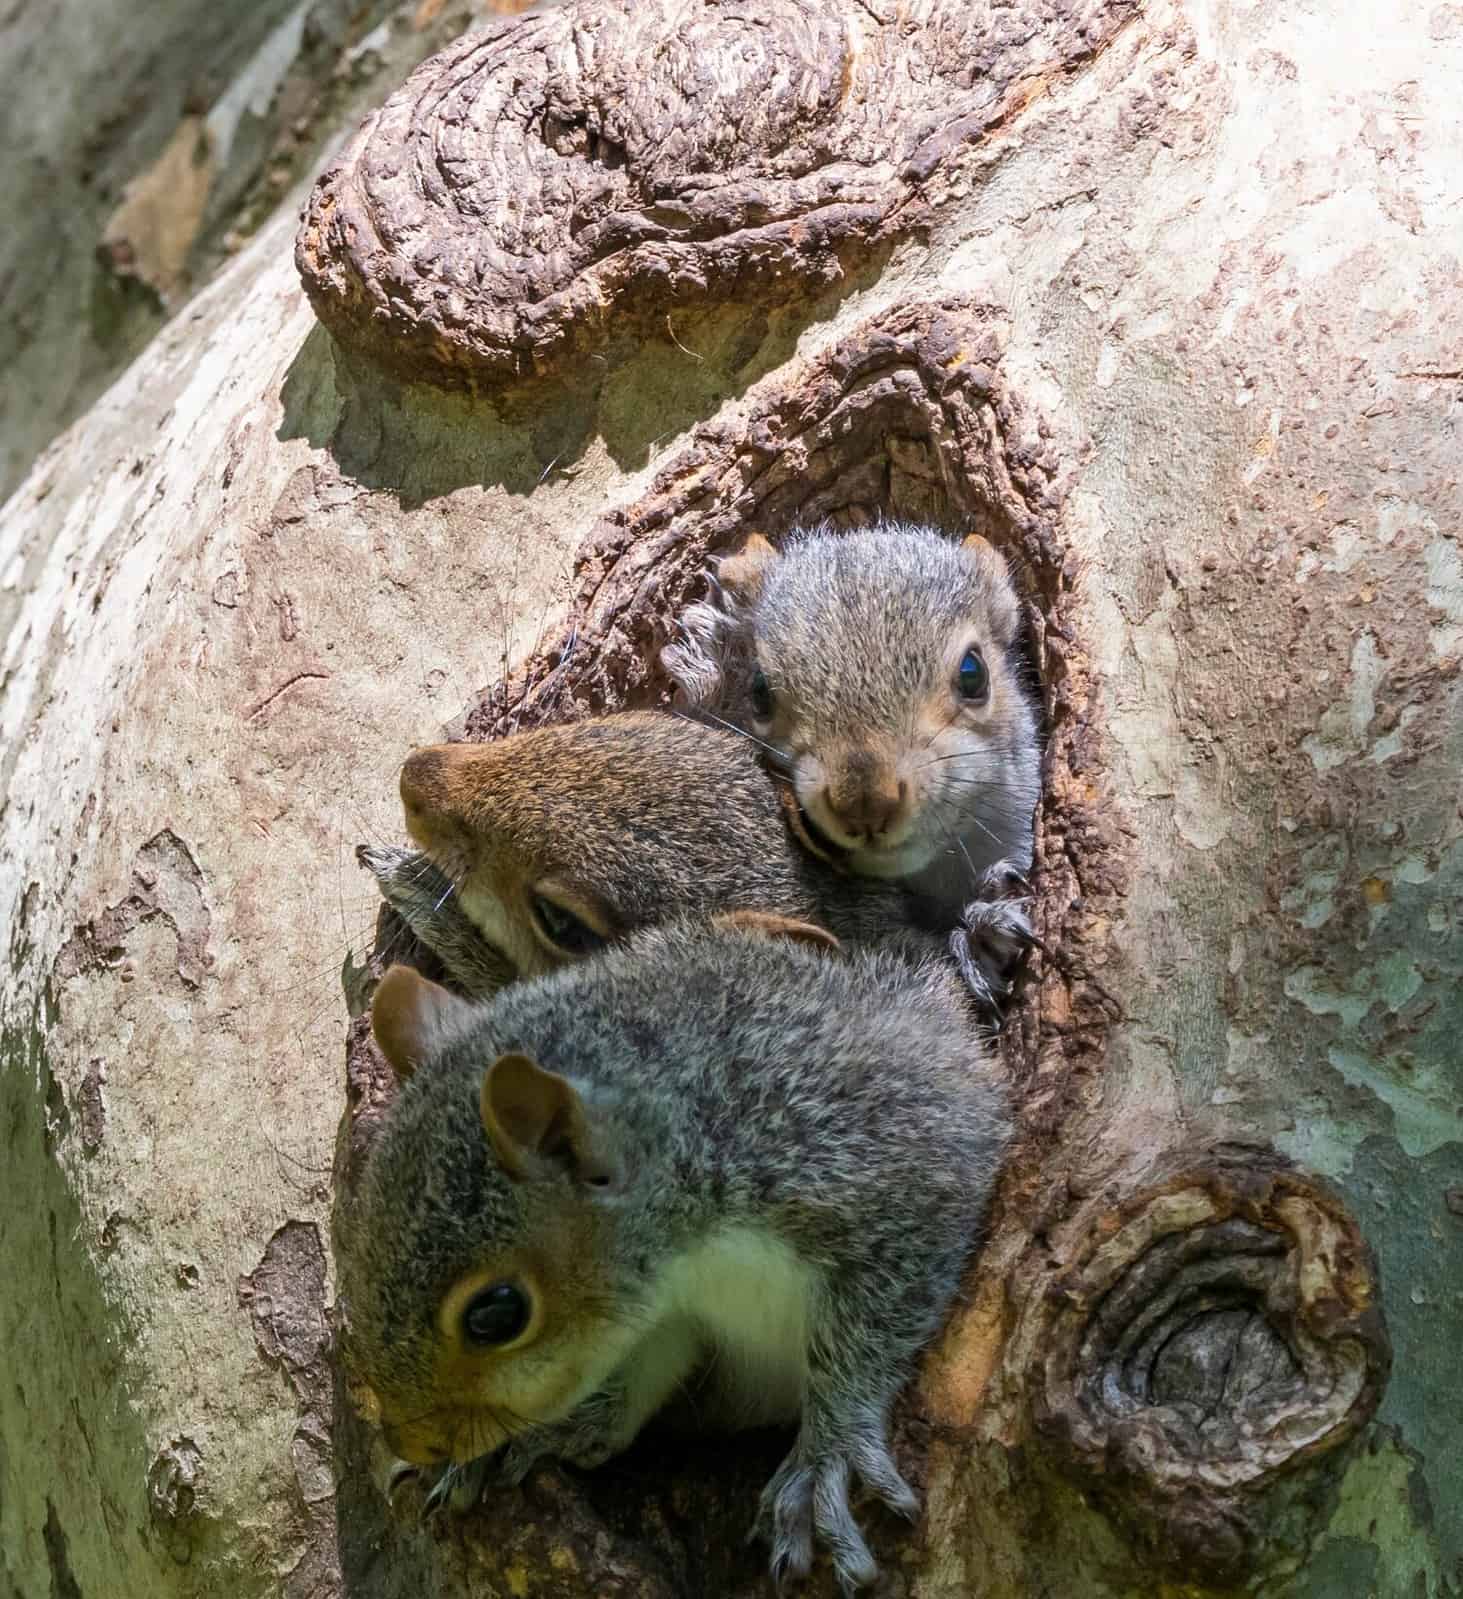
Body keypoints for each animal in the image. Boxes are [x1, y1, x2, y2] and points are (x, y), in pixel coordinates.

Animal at [341, 916, 1010, 1594]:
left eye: (497, 1314)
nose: (414, 1441)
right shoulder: (674, 1313)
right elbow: (648, 1363)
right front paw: (564, 1425)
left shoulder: (880, 1152)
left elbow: (876, 1316)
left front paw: (831, 1450)